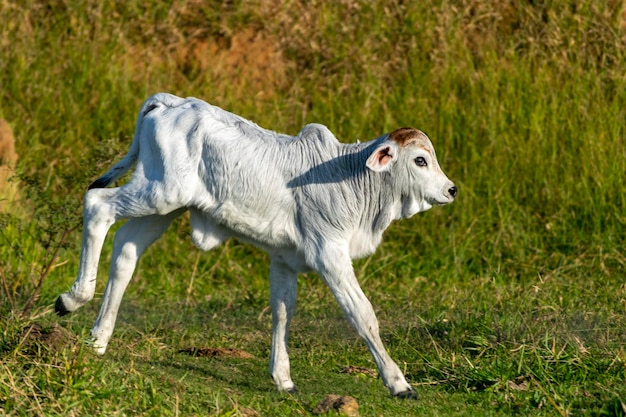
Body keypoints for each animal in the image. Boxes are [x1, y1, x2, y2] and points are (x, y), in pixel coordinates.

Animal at [57, 92, 454, 398]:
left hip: (164, 206)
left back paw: (98, 338)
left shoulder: (285, 259)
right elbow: (363, 315)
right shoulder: (329, 254)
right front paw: (398, 383)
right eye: (420, 160)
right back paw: (74, 298)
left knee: (126, 248)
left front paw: (283, 378)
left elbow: (282, 312)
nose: (451, 189)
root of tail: (170, 101)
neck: (352, 180)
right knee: (97, 205)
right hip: (159, 192)